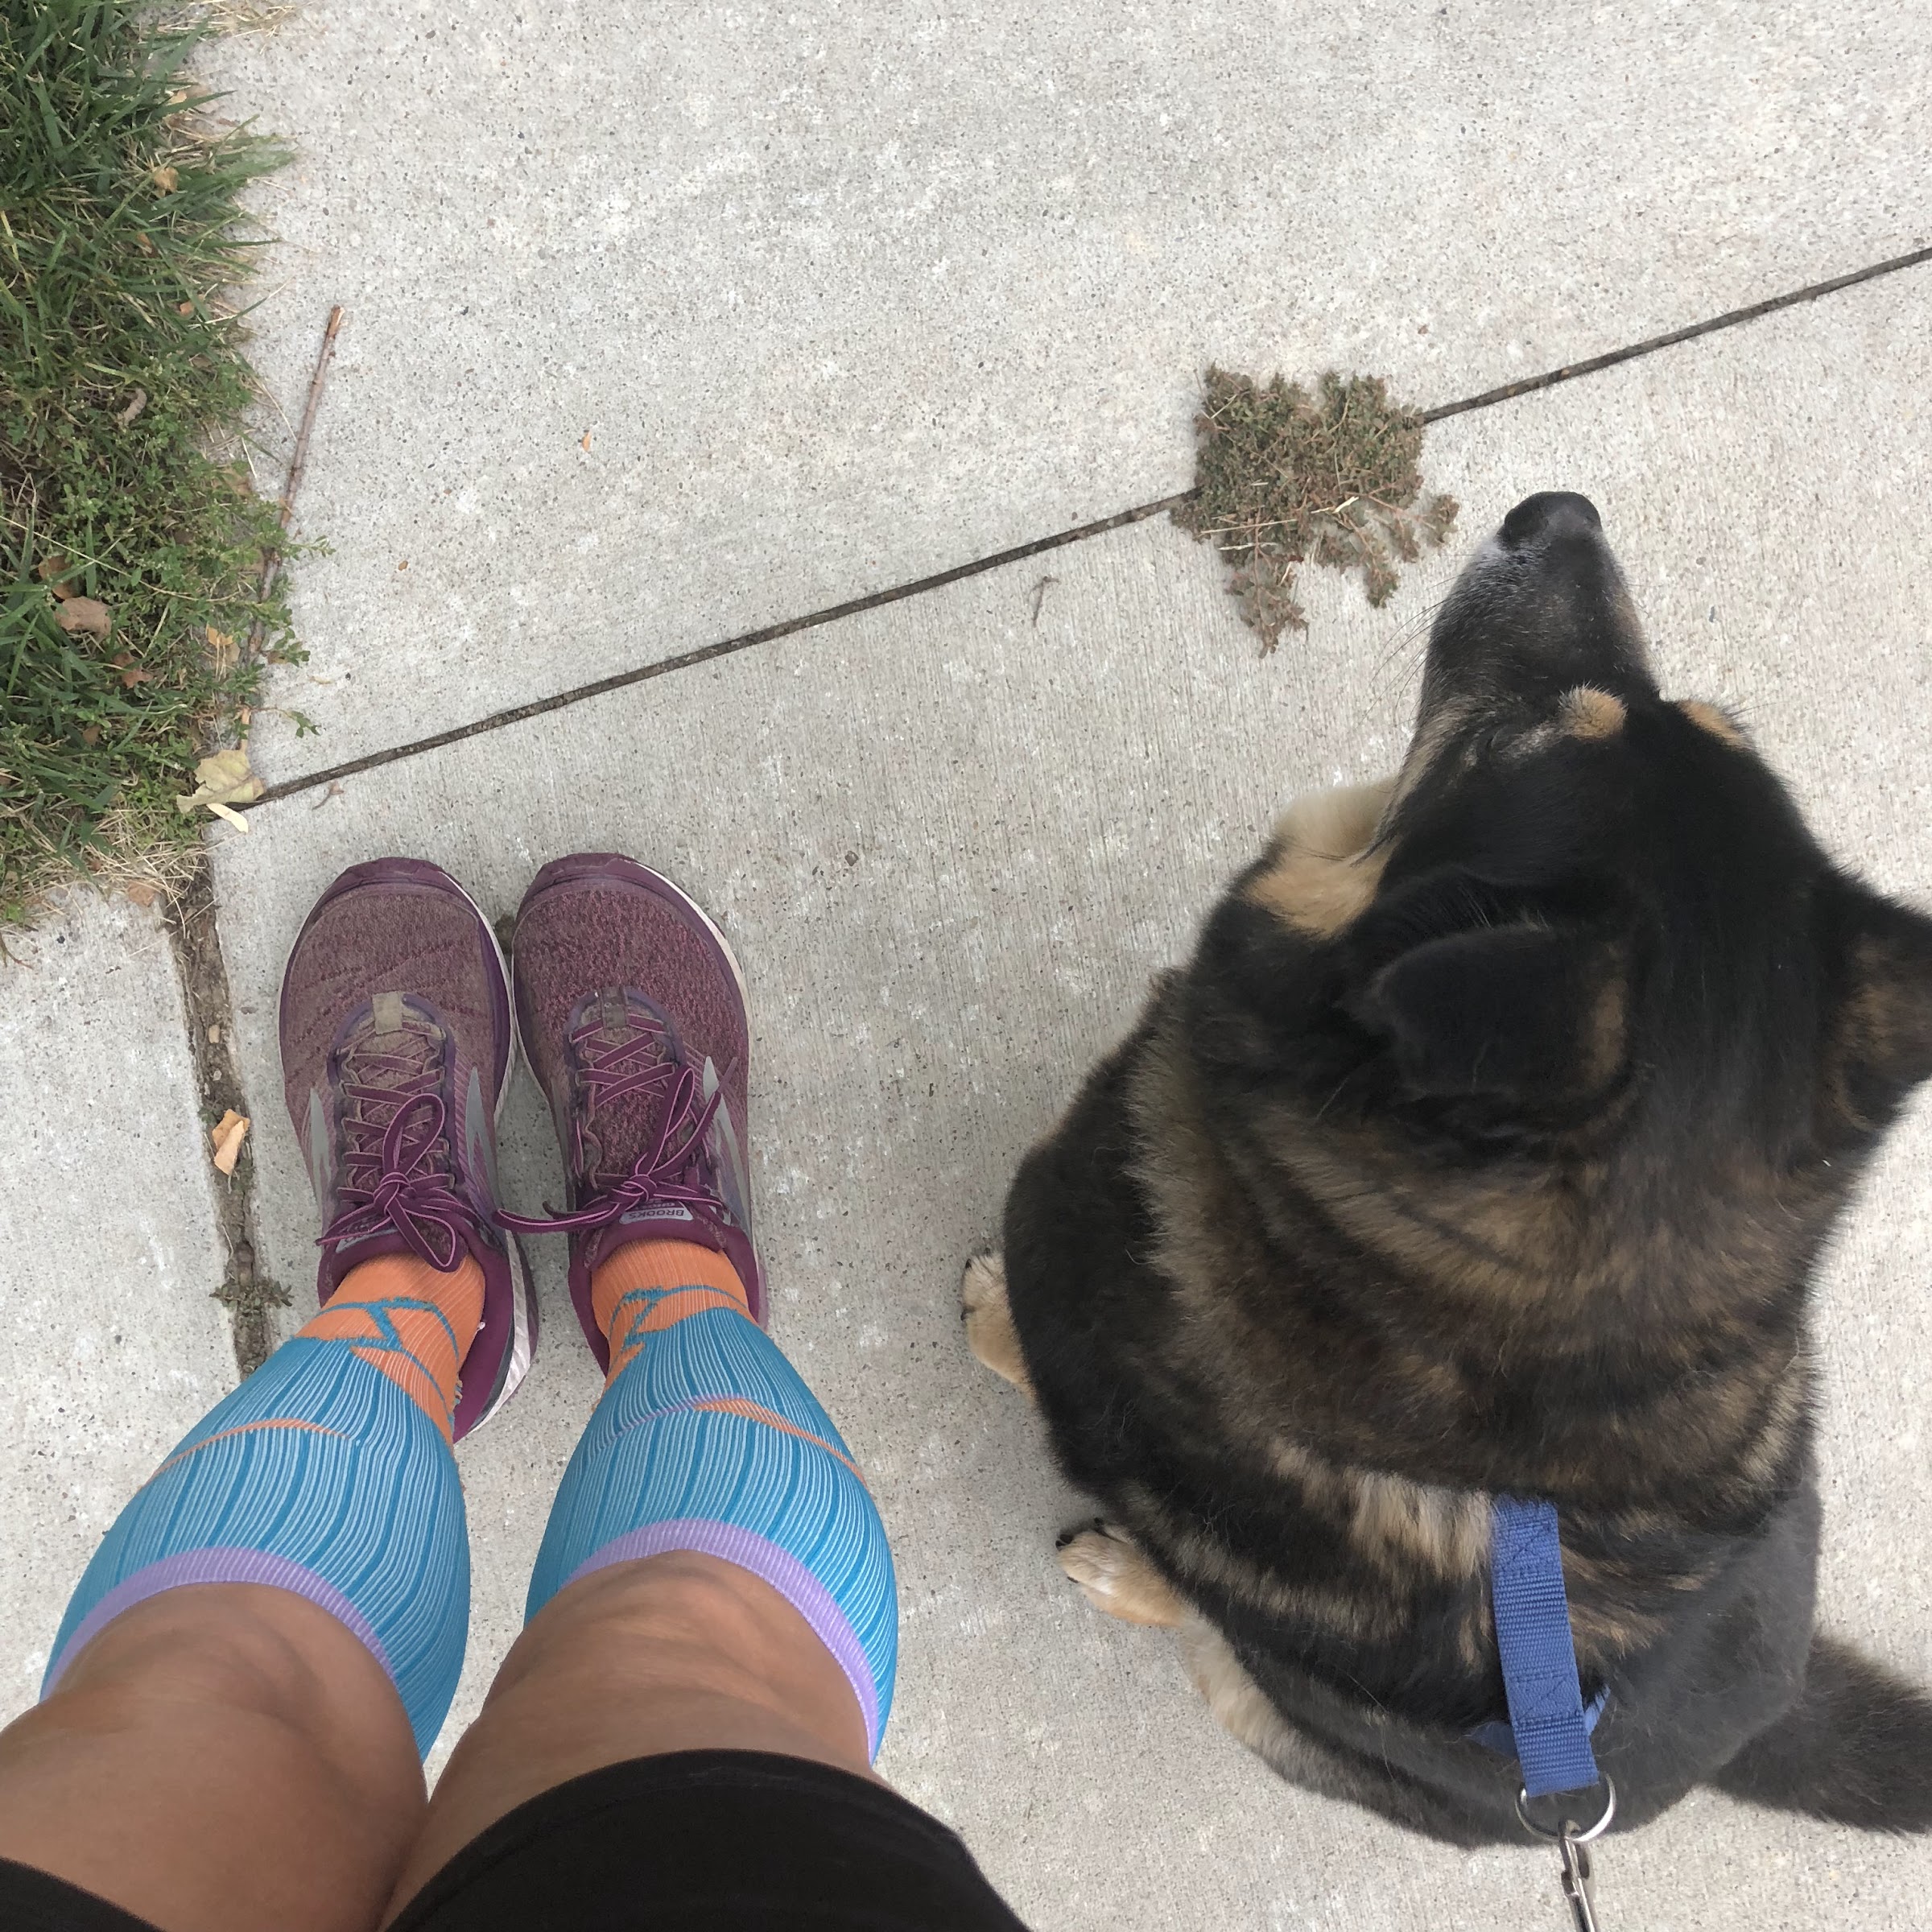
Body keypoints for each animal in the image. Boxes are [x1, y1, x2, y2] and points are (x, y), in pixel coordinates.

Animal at [963, 491, 1932, 1844]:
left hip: (1258, 1701)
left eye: (1512, 746)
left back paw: (1120, 1569)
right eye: (1694, 716)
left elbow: (1020, 1344)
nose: (1555, 512)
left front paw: (989, 1319)